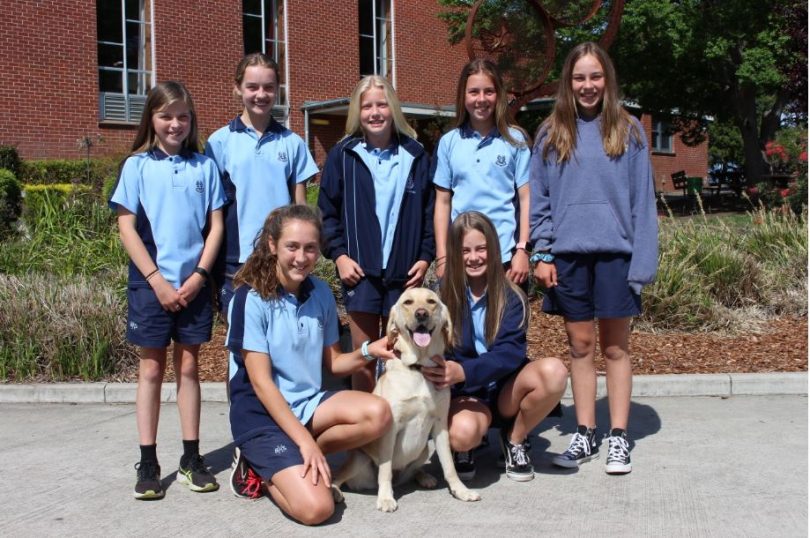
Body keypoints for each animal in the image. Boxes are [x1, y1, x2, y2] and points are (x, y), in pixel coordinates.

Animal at [330, 286, 480, 508]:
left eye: (431, 302)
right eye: (407, 302)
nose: (421, 314)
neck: (419, 368)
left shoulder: (440, 424)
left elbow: (449, 466)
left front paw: (460, 490)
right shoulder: (390, 428)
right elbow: (385, 470)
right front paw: (385, 498)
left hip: (423, 450)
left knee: (413, 469)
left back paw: (424, 476)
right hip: (359, 459)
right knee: (339, 477)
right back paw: (335, 491)